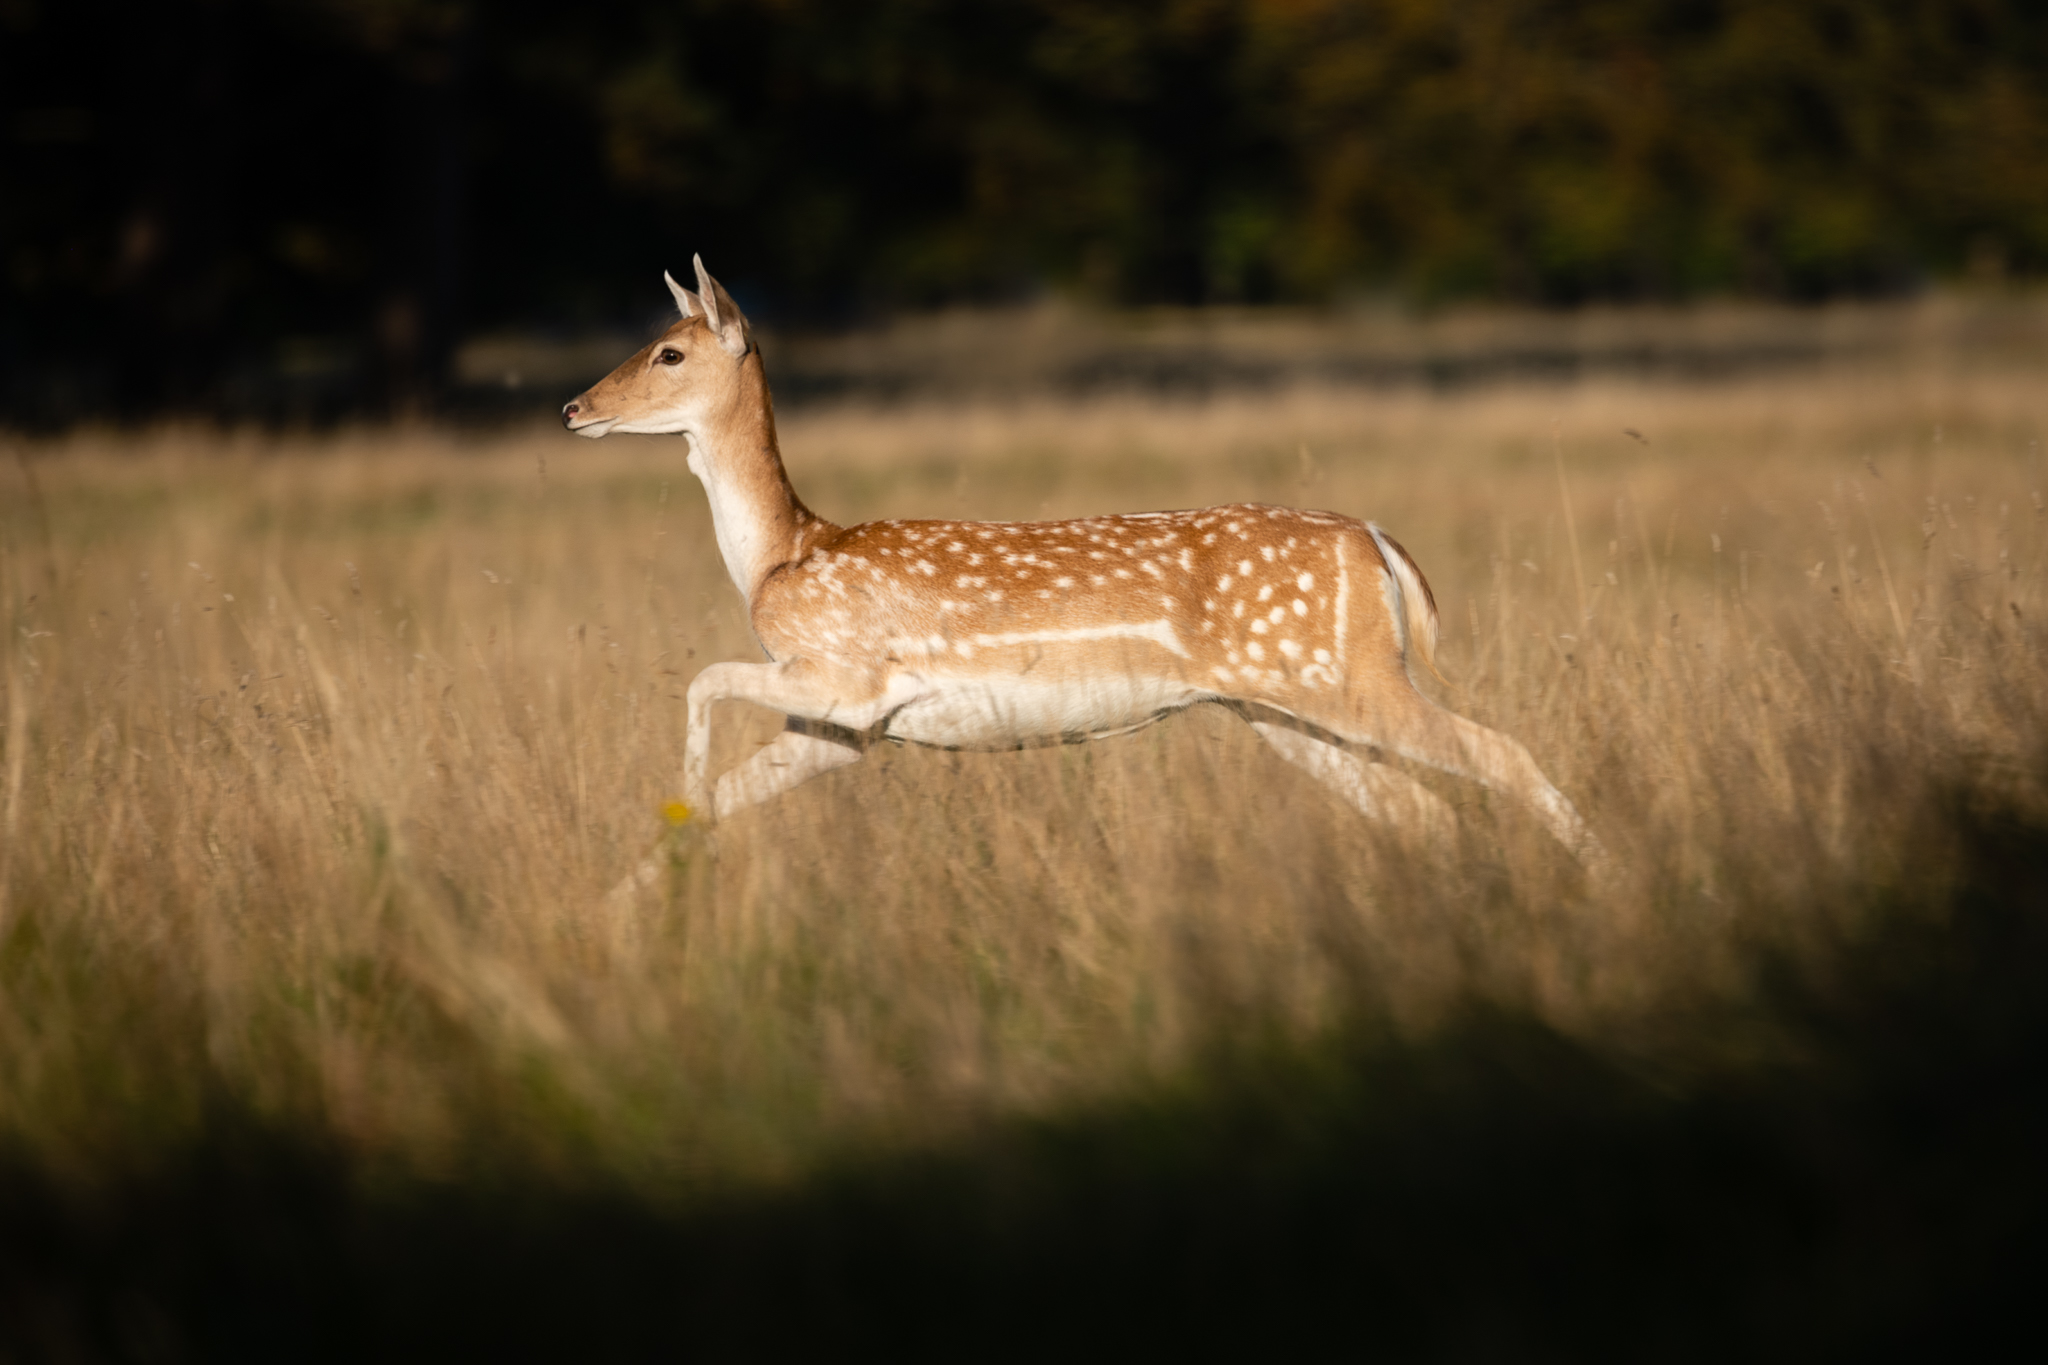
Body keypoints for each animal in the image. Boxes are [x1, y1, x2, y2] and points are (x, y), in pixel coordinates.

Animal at [563, 257, 1602, 870]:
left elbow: (701, 680)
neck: (786, 554)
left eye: (668, 351)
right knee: (1423, 809)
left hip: (1345, 677)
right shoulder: (843, 727)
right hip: (1279, 705)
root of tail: (1376, 542)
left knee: (1500, 755)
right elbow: (716, 798)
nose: (575, 408)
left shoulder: (847, 676)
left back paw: (1603, 885)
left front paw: (677, 796)